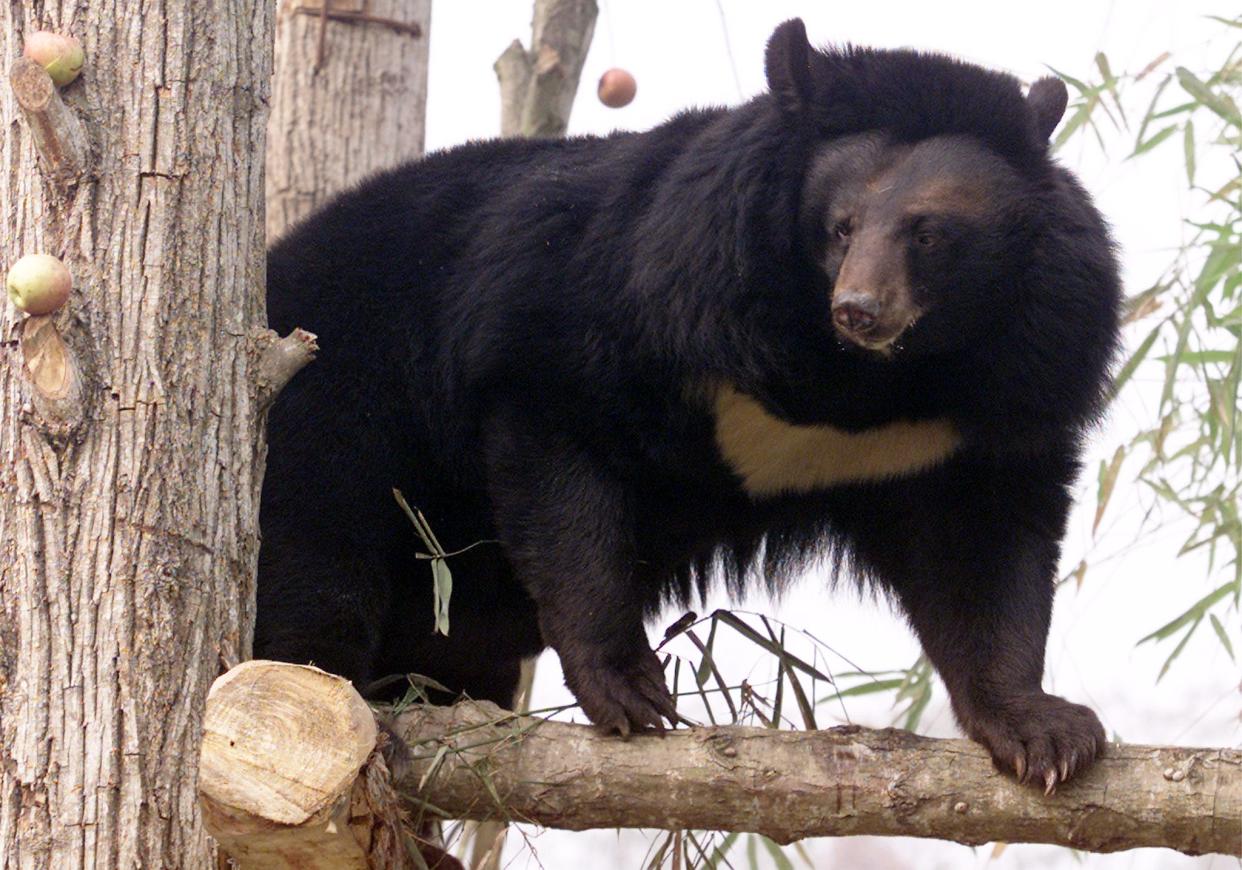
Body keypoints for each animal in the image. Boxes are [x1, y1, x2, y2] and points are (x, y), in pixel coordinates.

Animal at [257, 17, 1122, 790]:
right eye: (840, 227)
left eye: (929, 234)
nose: (859, 310)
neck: (856, 380)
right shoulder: (613, 305)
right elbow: (565, 477)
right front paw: (632, 691)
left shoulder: (985, 407)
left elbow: (981, 551)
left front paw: (1046, 735)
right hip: (338, 399)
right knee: (312, 554)